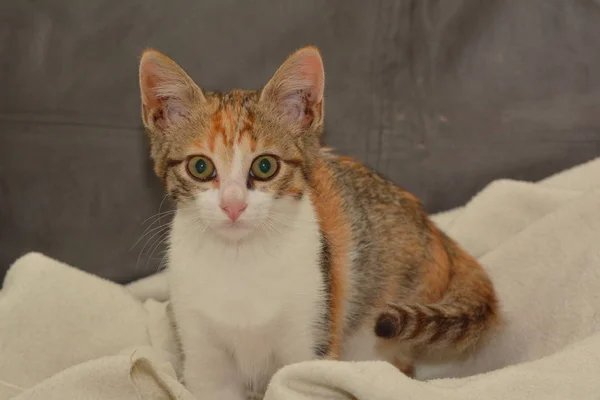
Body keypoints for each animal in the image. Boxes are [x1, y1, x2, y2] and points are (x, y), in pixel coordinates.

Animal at [138, 46, 500, 396]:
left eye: (265, 166)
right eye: (200, 167)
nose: (233, 205)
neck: (240, 259)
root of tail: (431, 226)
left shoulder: (311, 334)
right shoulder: (202, 356)